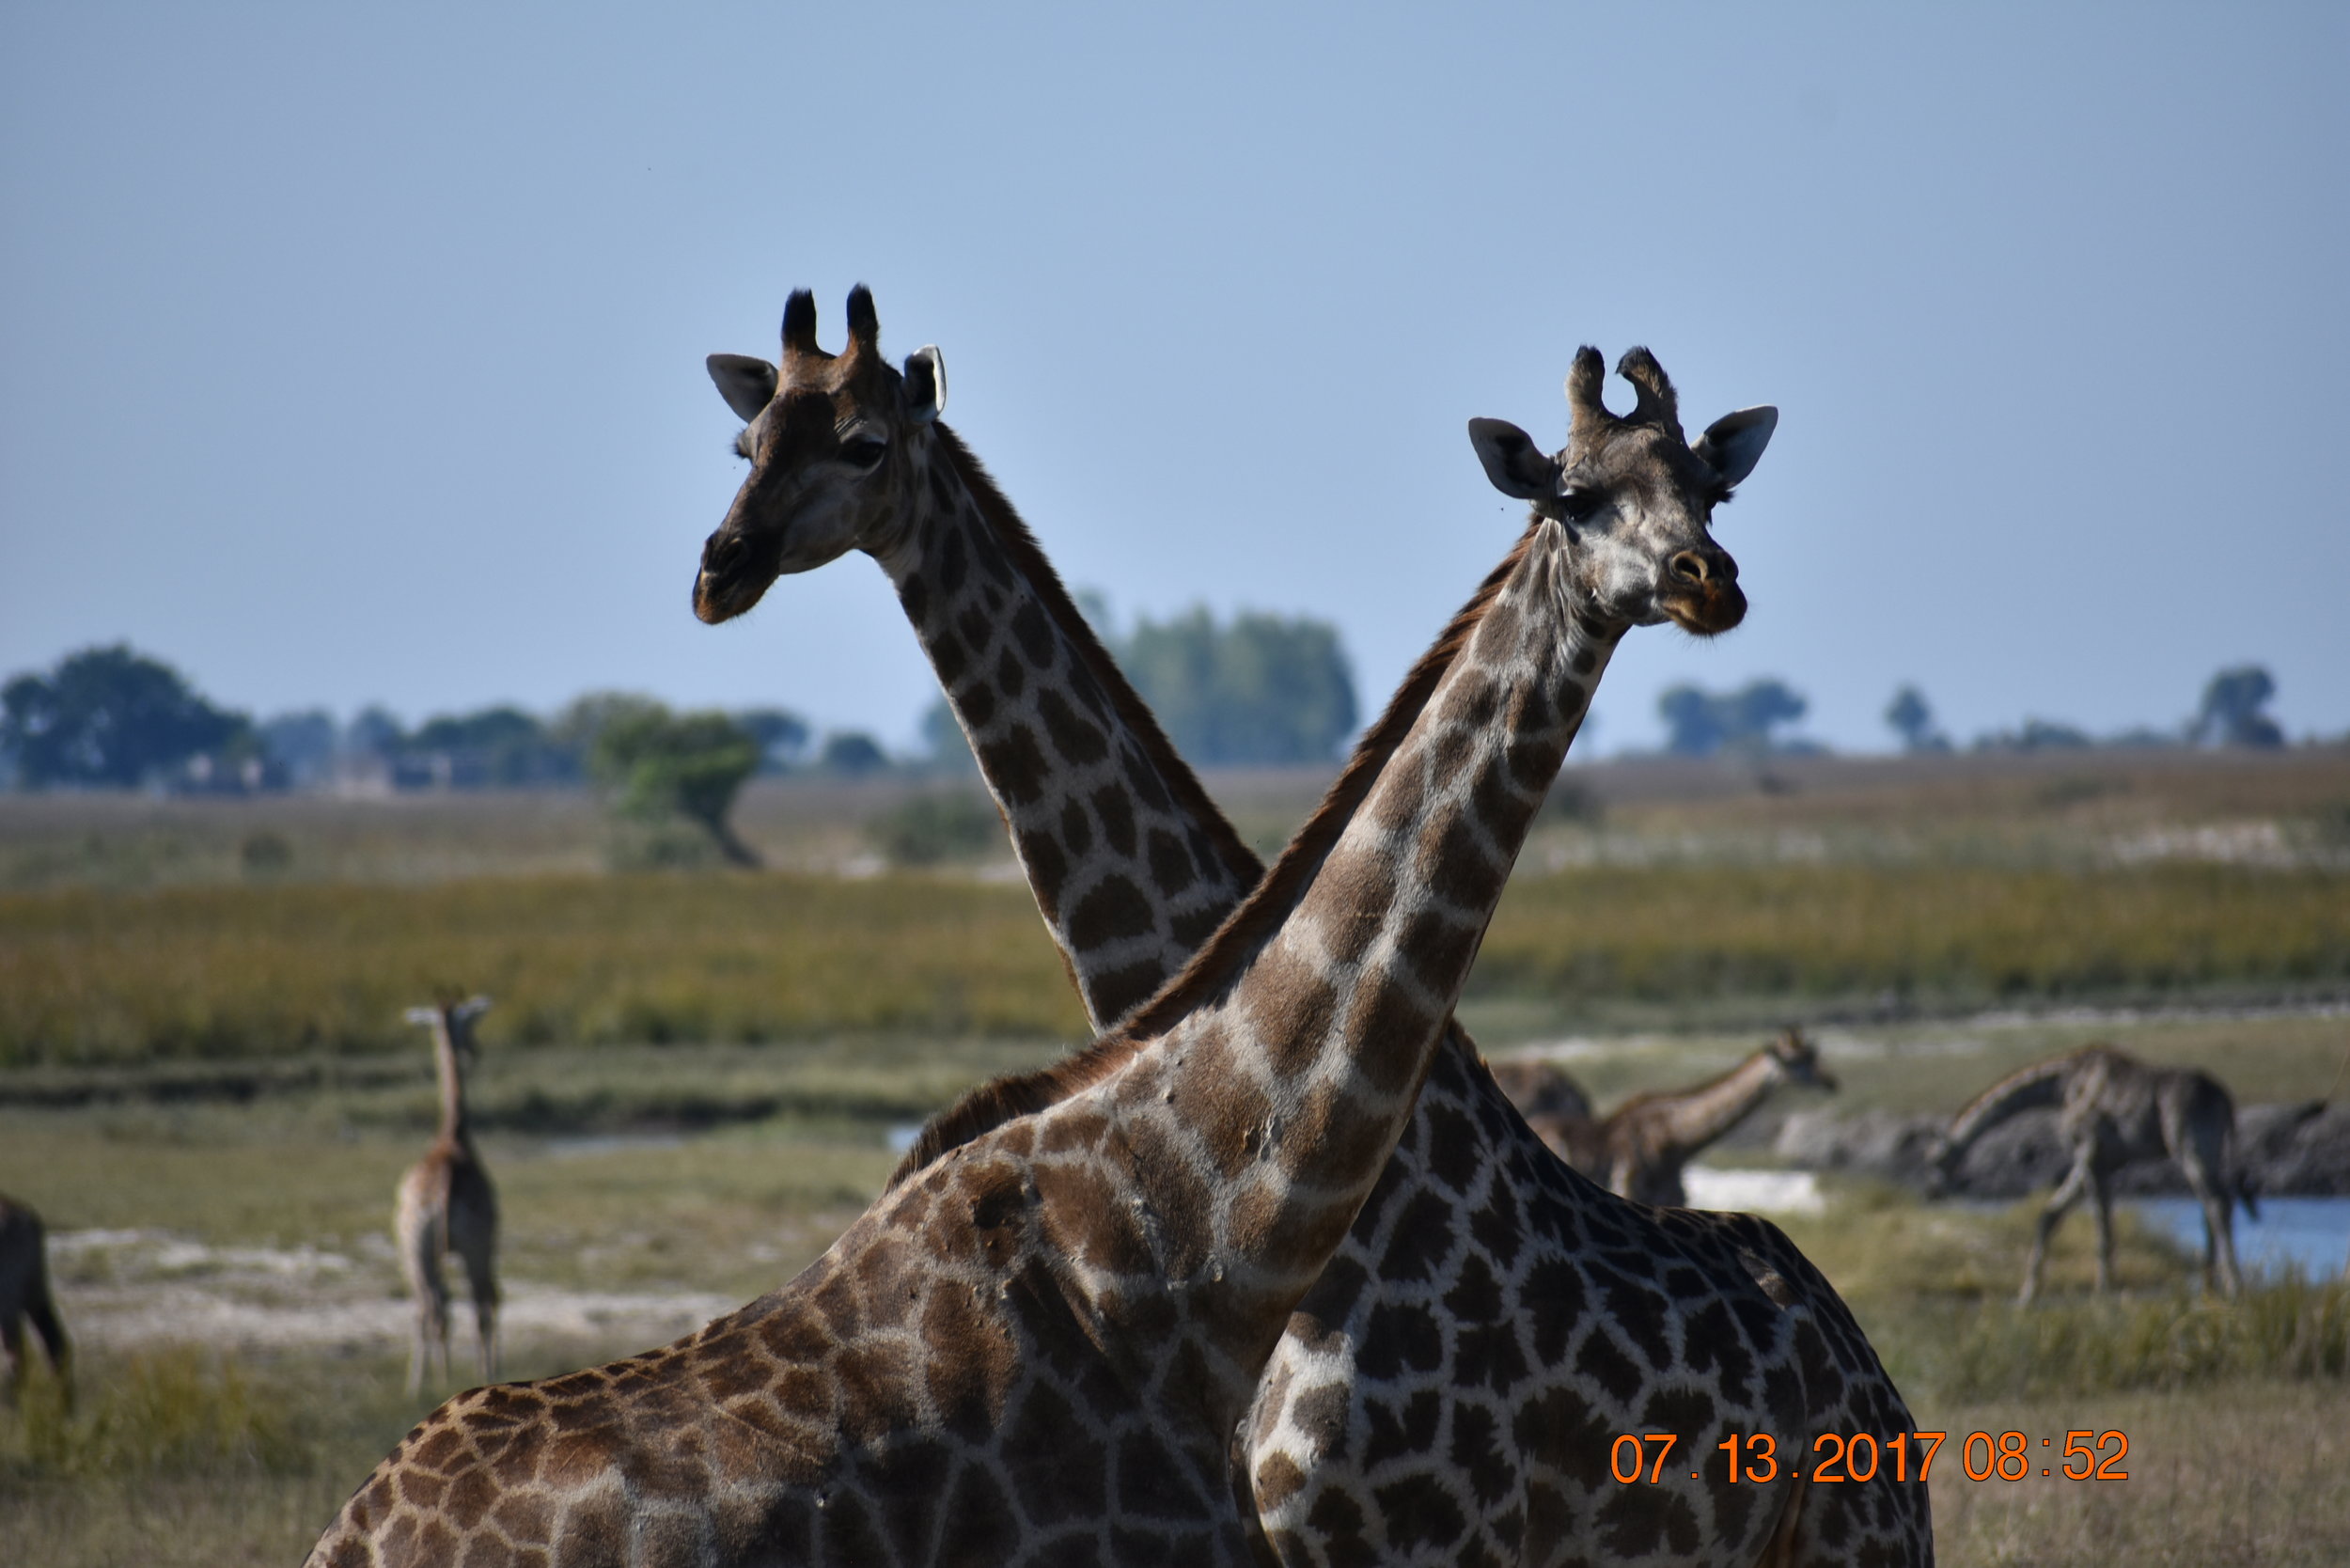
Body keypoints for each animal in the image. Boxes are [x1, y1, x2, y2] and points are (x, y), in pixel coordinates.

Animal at [396, 995, 501, 1396]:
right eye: (468, 1023)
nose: (474, 1051)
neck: (452, 1137)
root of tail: (444, 1188)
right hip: (470, 1248)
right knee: (475, 1304)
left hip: (418, 1249)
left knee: (432, 1307)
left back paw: (424, 1381)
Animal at [1533, 1029, 1838, 1208]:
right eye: (1798, 1061)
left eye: (1814, 1055)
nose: (1831, 1082)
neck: (1678, 1140)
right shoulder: (1629, 1189)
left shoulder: (1675, 1199)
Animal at [1926, 1043, 2254, 1303]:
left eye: (1936, 1162)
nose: (1932, 1192)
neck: (2062, 1086)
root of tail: (2226, 1098)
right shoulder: (2102, 1162)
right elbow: (2051, 1214)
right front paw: (2028, 1292)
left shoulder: (2089, 1153)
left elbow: (2101, 1224)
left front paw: (2104, 1288)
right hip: (2208, 1151)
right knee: (2212, 1205)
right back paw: (2210, 1285)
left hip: (2191, 1148)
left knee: (2217, 1203)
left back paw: (2233, 1286)